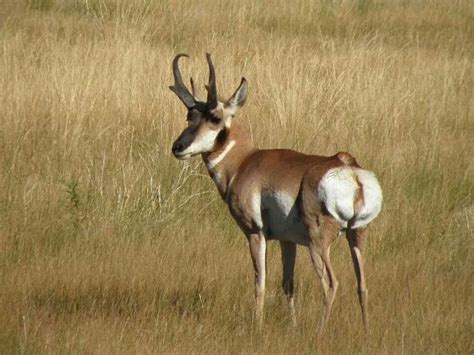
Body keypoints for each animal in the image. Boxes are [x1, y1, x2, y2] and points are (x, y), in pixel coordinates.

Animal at [168, 54, 384, 332]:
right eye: (189, 116)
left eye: (214, 118)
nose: (178, 147)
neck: (245, 162)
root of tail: (349, 169)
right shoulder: (287, 240)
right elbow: (287, 285)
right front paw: (291, 325)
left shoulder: (255, 232)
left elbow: (259, 282)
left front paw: (257, 325)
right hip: (356, 236)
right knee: (362, 285)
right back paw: (366, 333)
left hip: (319, 242)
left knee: (330, 284)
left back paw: (319, 332)